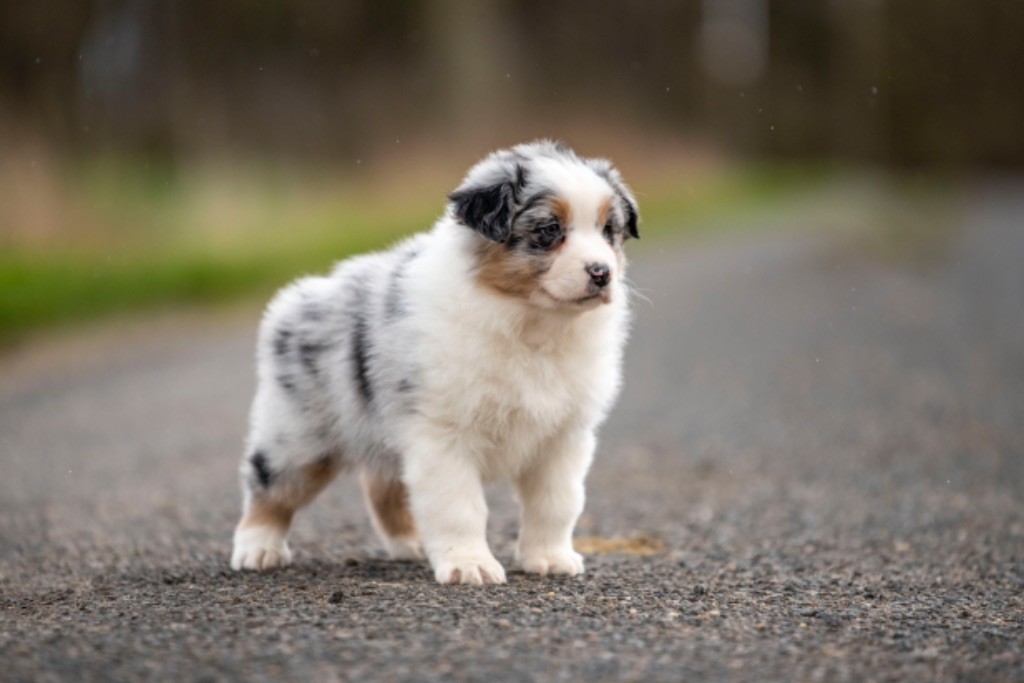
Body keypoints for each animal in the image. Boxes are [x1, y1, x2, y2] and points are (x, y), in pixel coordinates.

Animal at [230, 140, 639, 585]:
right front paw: (469, 565)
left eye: (609, 231)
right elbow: (459, 506)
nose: (602, 273)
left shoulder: (562, 437)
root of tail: (298, 297)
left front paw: (549, 558)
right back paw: (258, 549)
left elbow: (557, 503)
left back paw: (410, 545)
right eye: (549, 231)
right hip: (298, 436)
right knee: (269, 487)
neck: (531, 324)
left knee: (383, 487)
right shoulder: (443, 434)